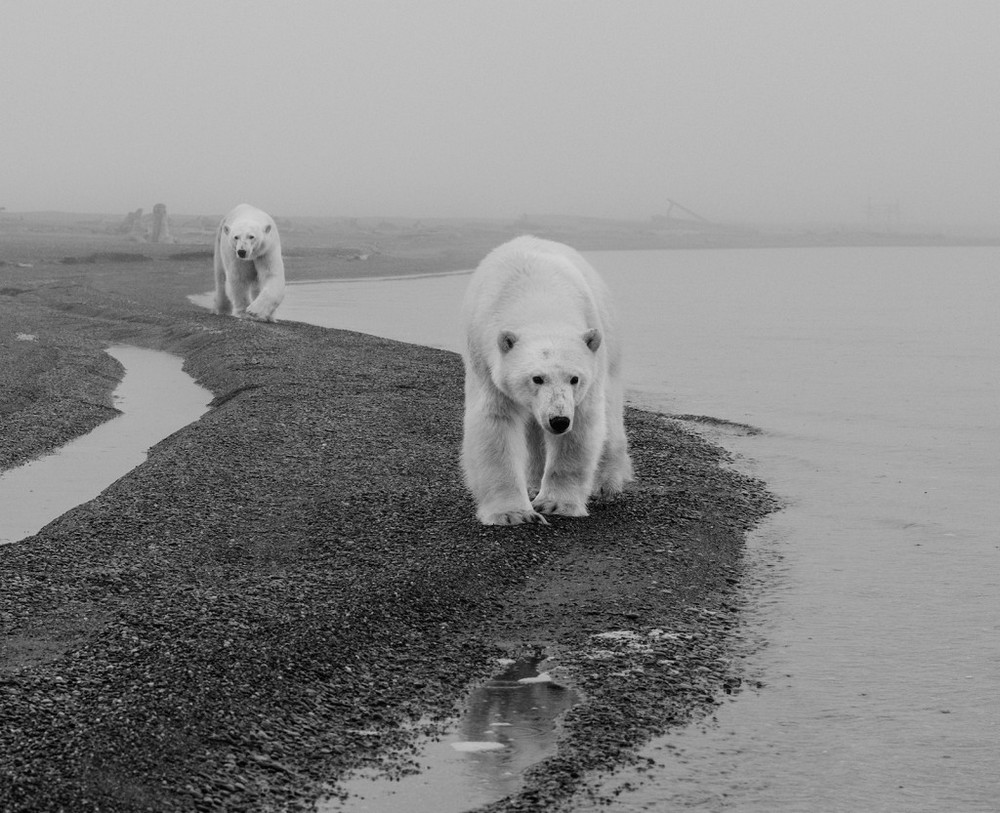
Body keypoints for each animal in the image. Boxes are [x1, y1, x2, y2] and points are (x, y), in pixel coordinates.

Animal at [460, 235, 632, 528]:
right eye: (536, 378)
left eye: (574, 378)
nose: (558, 420)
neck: (538, 299)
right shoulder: (484, 358)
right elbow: (495, 423)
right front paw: (512, 512)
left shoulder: (589, 362)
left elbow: (581, 426)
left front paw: (555, 503)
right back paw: (531, 483)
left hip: (610, 343)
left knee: (610, 414)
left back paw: (606, 483)